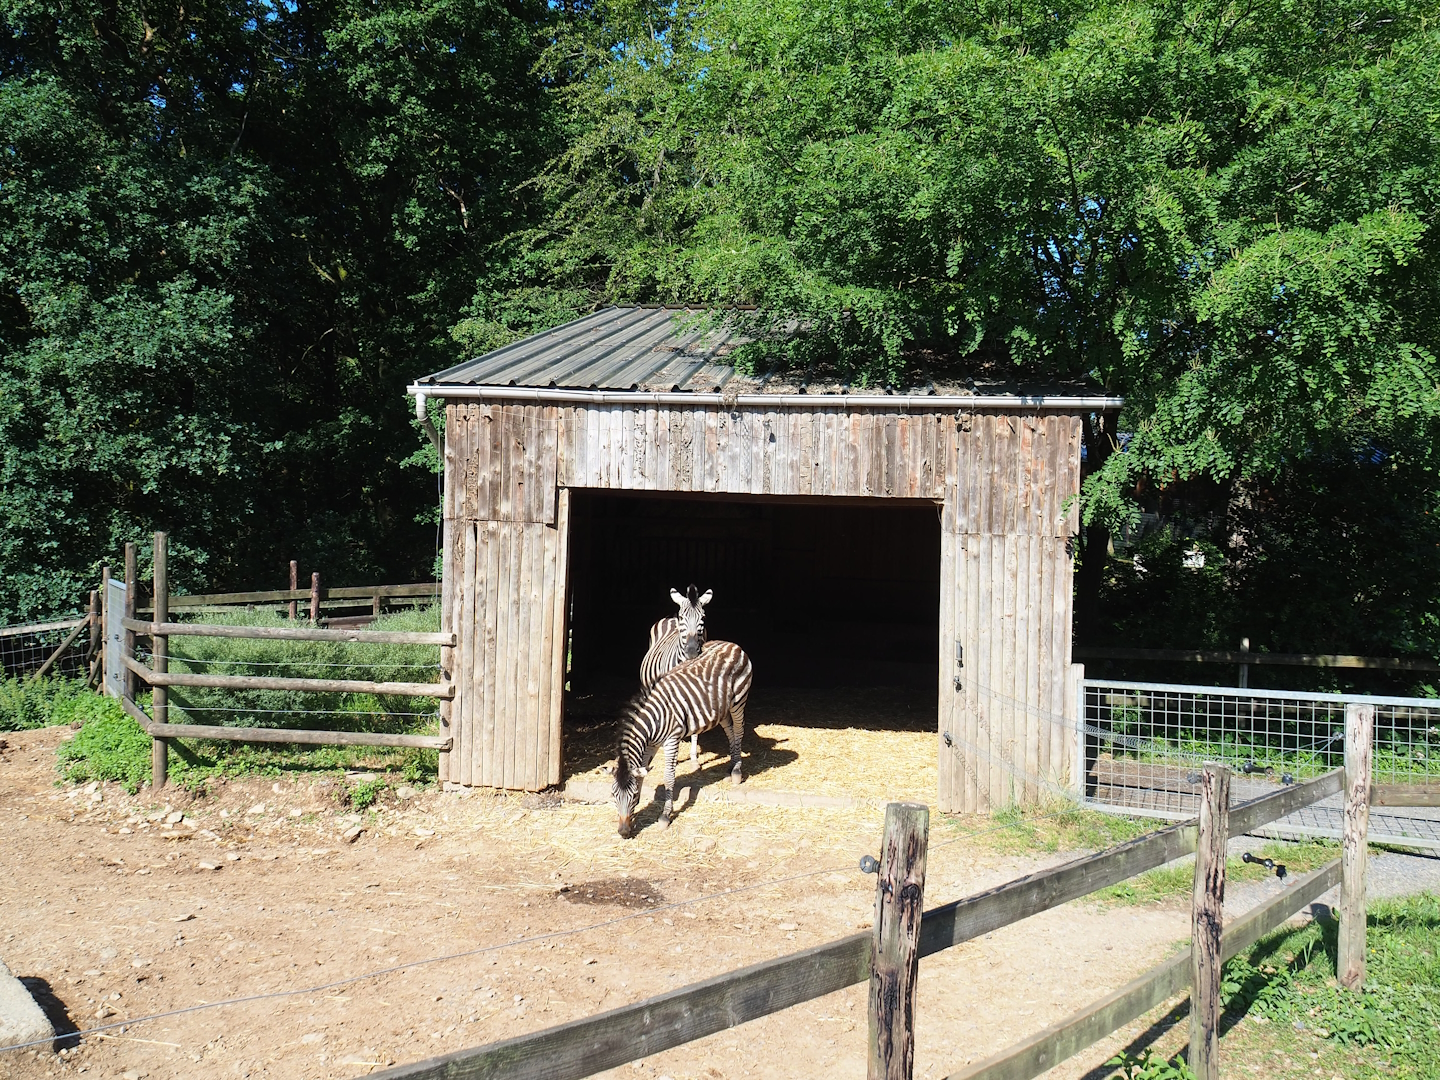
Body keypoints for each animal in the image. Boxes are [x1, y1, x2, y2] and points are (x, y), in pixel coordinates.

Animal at [610, 640, 752, 838]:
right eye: (613, 796)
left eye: (633, 796)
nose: (623, 832)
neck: (653, 720)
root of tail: (731, 644)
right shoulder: (650, 745)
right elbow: (642, 774)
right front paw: (635, 816)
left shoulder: (671, 740)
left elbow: (669, 777)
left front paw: (665, 815)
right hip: (721, 707)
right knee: (730, 731)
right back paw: (731, 765)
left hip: (738, 700)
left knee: (738, 730)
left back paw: (737, 771)